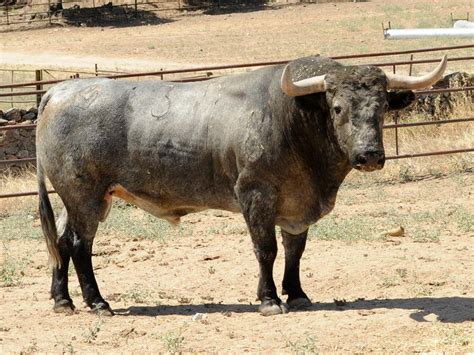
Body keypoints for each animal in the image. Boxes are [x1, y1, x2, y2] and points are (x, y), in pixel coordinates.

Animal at [37, 54, 448, 316]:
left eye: (382, 107)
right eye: (337, 108)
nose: (369, 155)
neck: (292, 118)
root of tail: (59, 91)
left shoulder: (297, 203)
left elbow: (295, 250)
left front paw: (297, 293)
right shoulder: (255, 195)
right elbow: (266, 249)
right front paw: (269, 300)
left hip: (78, 198)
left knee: (61, 241)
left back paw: (62, 301)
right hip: (86, 196)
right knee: (80, 246)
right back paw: (97, 302)